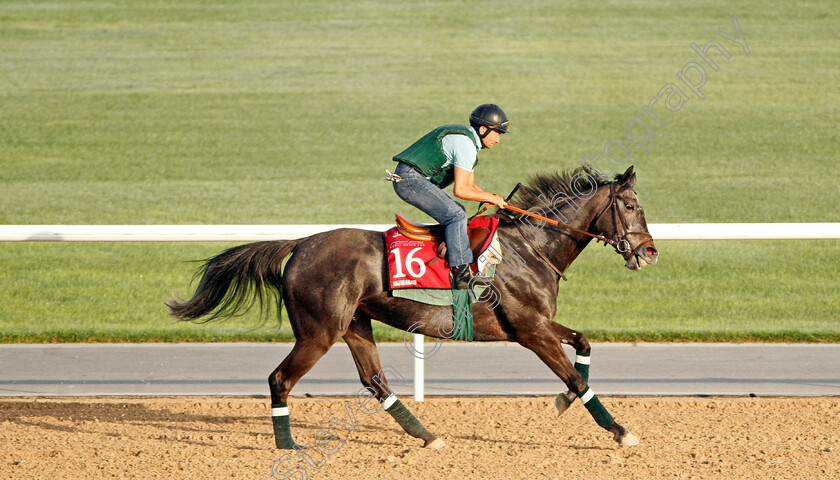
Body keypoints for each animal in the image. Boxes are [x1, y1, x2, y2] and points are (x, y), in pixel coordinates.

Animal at [167, 164, 660, 450]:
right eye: (630, 205)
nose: (650, 252)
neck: (529, 247)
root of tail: (302, 243)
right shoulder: (530, 330)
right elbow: (576, 377)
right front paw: (621, 431)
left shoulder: (534, 324)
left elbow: (583, 344)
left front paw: (563, 403)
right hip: (318, 331)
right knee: (280, 379)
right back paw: (287, 447)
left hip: (355, 324)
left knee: (374, 380)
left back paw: (427, 436)